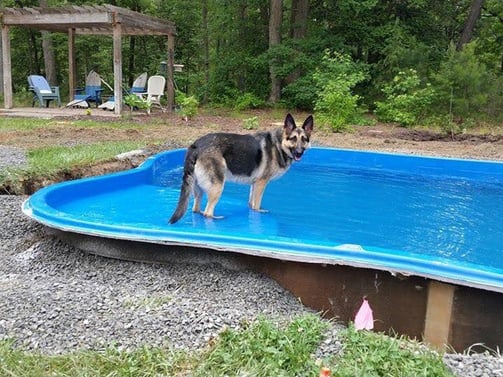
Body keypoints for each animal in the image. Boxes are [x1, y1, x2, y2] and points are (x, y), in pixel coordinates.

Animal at [169, 113, 314, 222]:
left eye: (304, 139)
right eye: (293, 139)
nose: (299, 152)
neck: (279, 144)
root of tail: (196, 145)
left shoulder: (254, 184)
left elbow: (251, 203)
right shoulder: (261, 183)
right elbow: (257, 205)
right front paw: (259, 212)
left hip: (198, 188)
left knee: (196, 209)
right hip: (217, 187)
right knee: (207, 212)